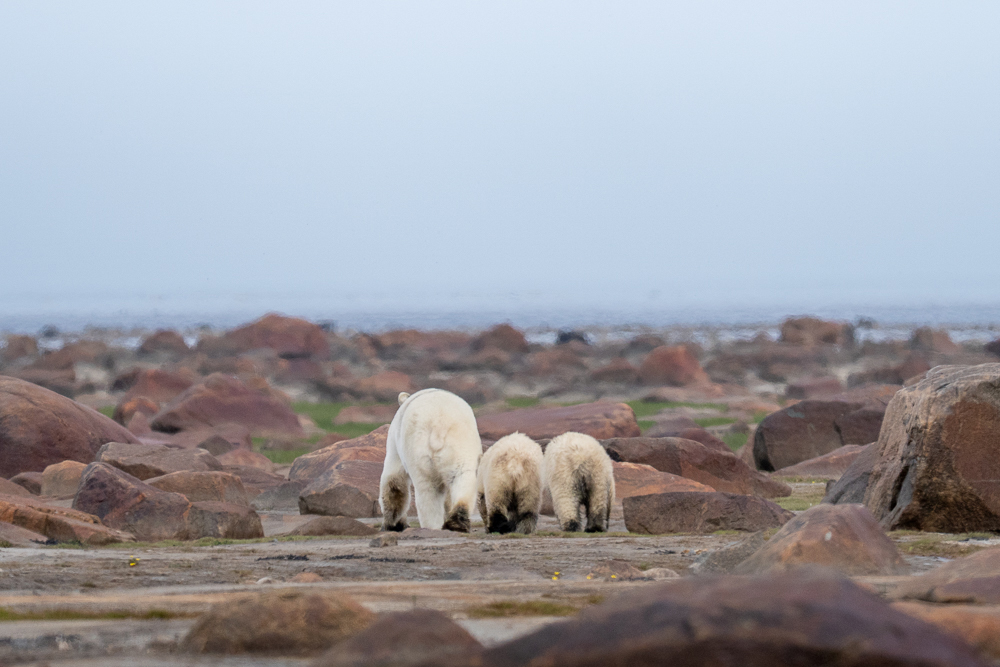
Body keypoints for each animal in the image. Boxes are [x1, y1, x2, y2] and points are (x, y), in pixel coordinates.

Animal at [379, 388, 482, 532]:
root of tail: (438, 425)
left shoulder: (395, 443)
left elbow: (394, 480)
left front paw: (392, 525)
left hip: (418, 450)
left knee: (427, 490)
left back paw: (432, 527)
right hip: (460, 446)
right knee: (463, 478)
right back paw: (457, 522)